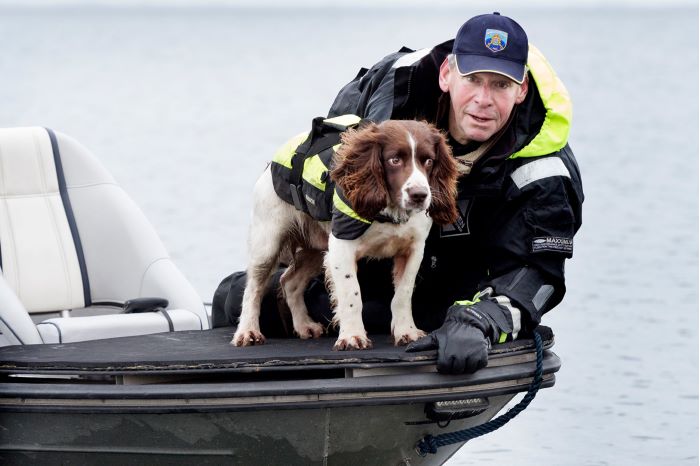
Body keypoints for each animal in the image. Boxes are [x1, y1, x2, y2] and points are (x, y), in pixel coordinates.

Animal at [231, 119, 460, 350]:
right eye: (394, 160)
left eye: (429, 161)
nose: (419, 195)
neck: (389, 210)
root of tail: (269, 166)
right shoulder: (342, 248)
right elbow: (352, 294)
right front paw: (352, 336)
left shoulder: (413, 250)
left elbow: (403, 295)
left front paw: (407, 332)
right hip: (267, 243)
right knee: (253, 290)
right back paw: (247, 332)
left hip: (317, 248)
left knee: (290, 282)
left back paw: (305, 326)